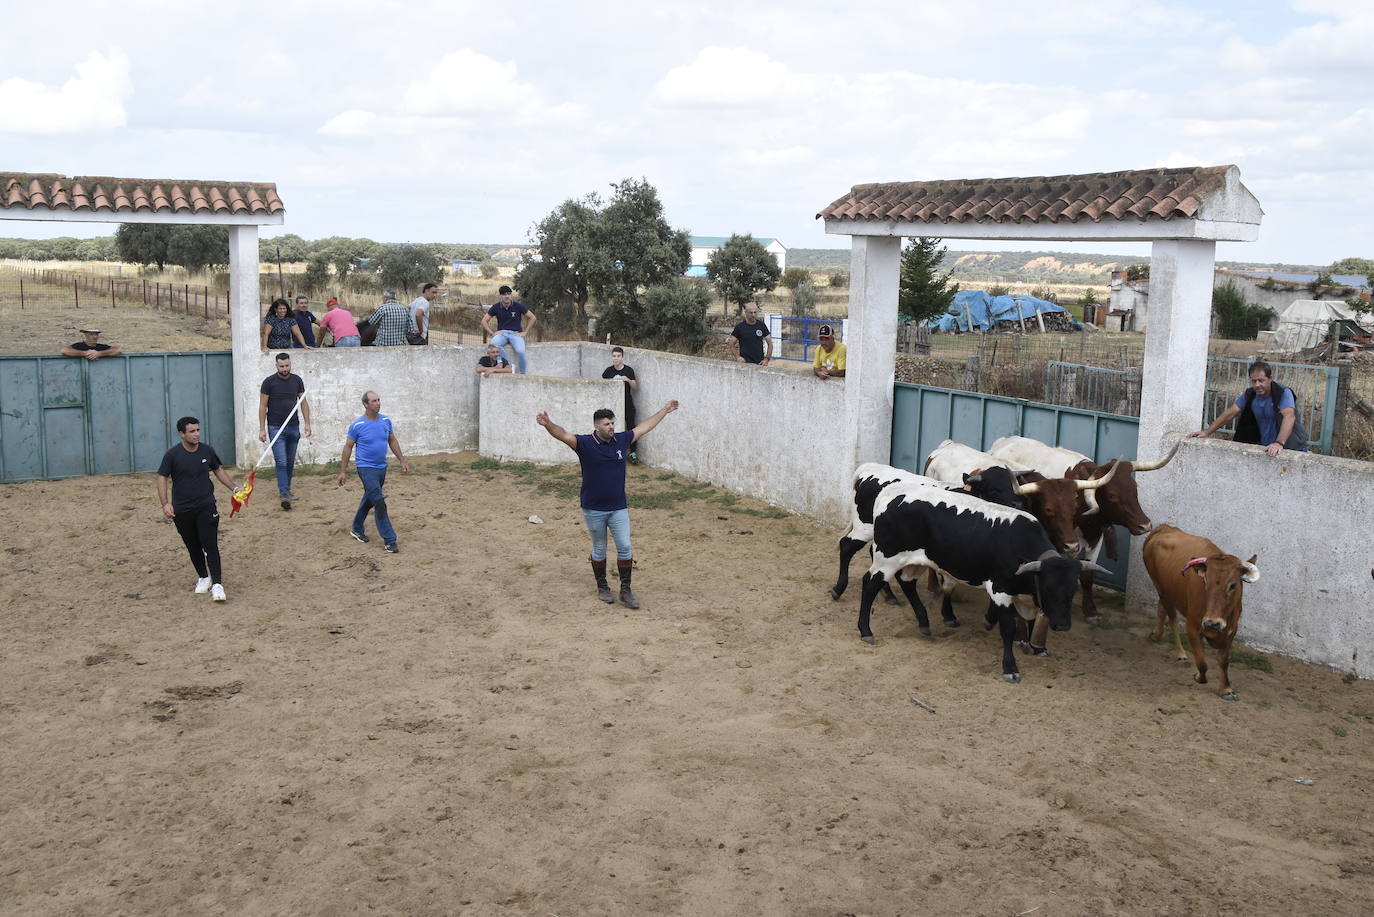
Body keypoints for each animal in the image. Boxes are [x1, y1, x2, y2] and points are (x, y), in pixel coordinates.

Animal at [862, 481, 1110, 681]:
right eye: (1048, 587)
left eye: (1072, 589)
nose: (1062, 624)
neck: (1019, 544)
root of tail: (890, 491)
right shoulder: (1000, 591)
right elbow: (1008, 629)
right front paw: (1010, 668)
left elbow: (1028, 621)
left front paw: (1033, 646)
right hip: (887, 559)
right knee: (870, 583)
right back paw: (866, 631)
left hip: (916, 561)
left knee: (906, 582)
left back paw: (923, 622)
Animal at [1137, 527, 1258, 698]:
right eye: (1205, 581)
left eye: (1233, 585)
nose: (1212, 623)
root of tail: (1164, 528)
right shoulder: (1193, 627)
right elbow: (1202, 663)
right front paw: (1198, 677)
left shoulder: (1232, 630)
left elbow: (1223, 661)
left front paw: (1226, 689)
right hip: (1161, 588)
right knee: (1172, 618)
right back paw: (1180, 652)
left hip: (1167, 592)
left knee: (1161, 608)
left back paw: (1156, 635)